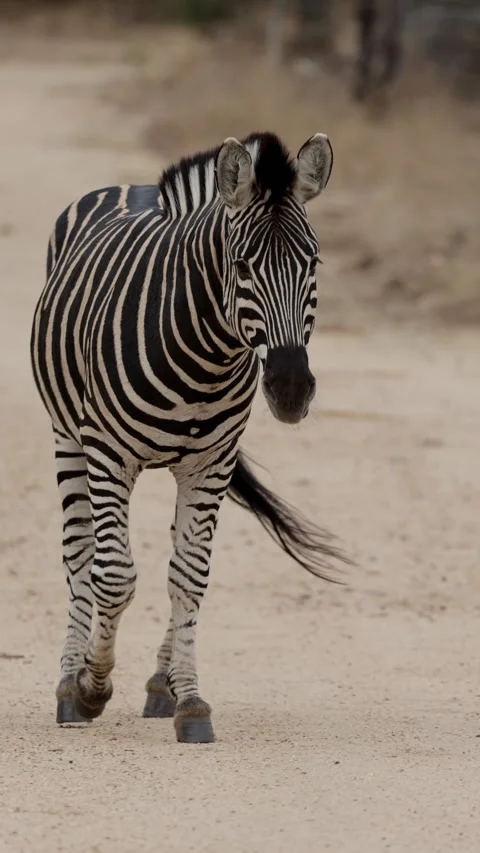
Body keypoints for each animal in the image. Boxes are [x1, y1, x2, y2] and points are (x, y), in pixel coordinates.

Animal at [31, 131, 349, 743]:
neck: (206, 355)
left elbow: (189, 575)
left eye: (313, 261)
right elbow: (113, 576)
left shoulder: (211, 464)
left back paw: (162, 684)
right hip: (66, 436)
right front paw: (92, 687)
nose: (291, 389)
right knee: (80, 554)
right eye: (242, 264)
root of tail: (136, 188)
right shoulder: (108, 454)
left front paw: (191, 700)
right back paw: (66, 685)